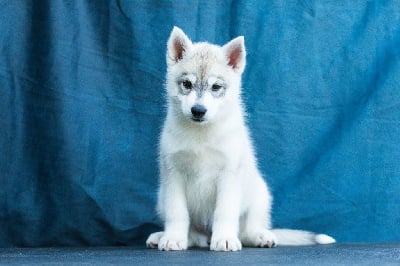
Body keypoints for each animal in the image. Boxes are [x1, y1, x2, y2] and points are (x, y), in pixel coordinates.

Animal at [146, 27, 334, 251]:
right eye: (187, 84)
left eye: (216, 87)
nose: (198, 110)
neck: (201, 134)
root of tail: (206, 235)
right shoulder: (173, 174)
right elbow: (178, 213)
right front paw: (173, 238)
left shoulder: (229, 174)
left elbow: (224, 212)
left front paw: (224, 239)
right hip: (161, 197)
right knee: (194, 236)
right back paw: (164, 236)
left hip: (260, 195)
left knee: (247, 231)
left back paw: (260, 236)